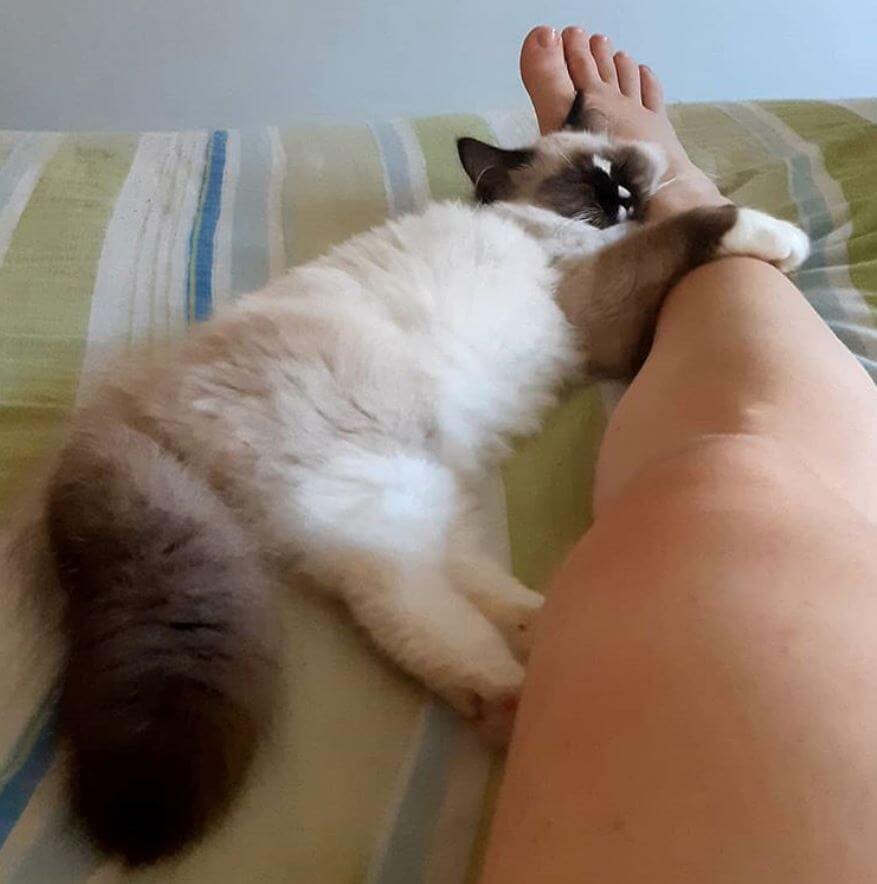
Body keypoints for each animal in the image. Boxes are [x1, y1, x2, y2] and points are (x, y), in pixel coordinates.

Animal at [39, 92, 809, 866]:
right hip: (381, 486)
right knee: (408, 608)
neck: (540, 227)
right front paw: (781, 238)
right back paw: (510, 696)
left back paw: (545, 627)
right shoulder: (602, 307)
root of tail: (132, 398)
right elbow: (700, 226)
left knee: (465, 579)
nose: (621, 199)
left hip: (429, 491)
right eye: (583, 185)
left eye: (617, 168)